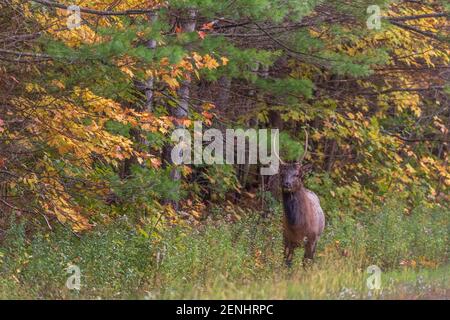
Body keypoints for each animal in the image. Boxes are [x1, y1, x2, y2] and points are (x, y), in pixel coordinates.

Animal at [276, 130, 326, 268]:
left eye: (297, 174)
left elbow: (306, 263)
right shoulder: (287, 238)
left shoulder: (311, 239)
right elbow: (287, 263)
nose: (286, 184)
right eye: (281, 174)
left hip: (317, 238)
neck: (297, 225)